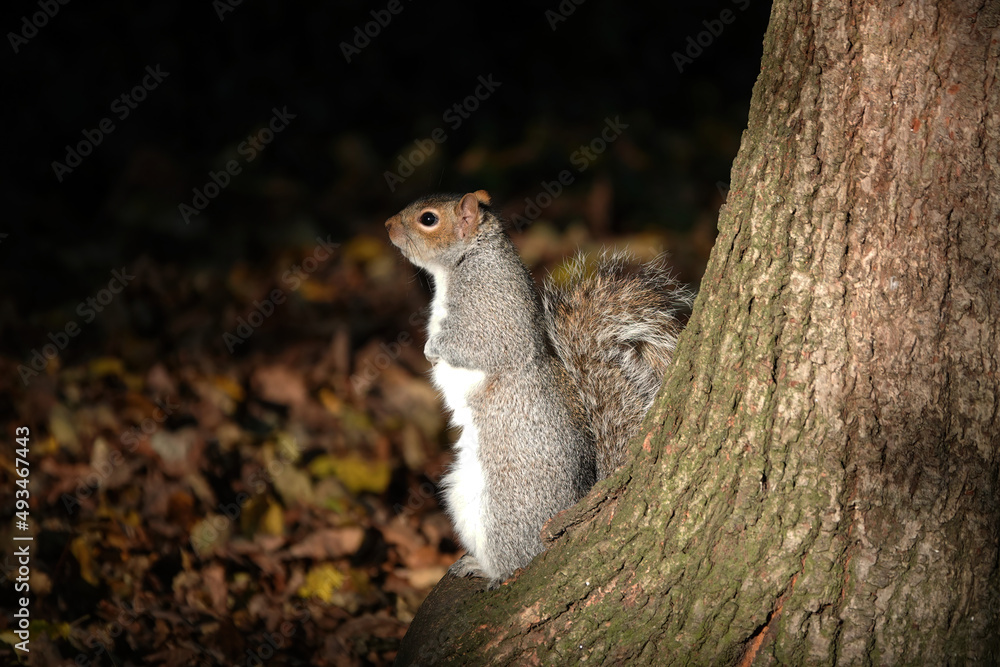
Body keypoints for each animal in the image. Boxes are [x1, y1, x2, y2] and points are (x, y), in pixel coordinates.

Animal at [385, 190, 693, 587]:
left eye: (428, 219)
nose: (387, 225)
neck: (469, 258)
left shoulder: (489, 314)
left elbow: (472, 347)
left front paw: (430, 349)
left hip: (506, 510)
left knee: (514, 559)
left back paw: (491, 572)